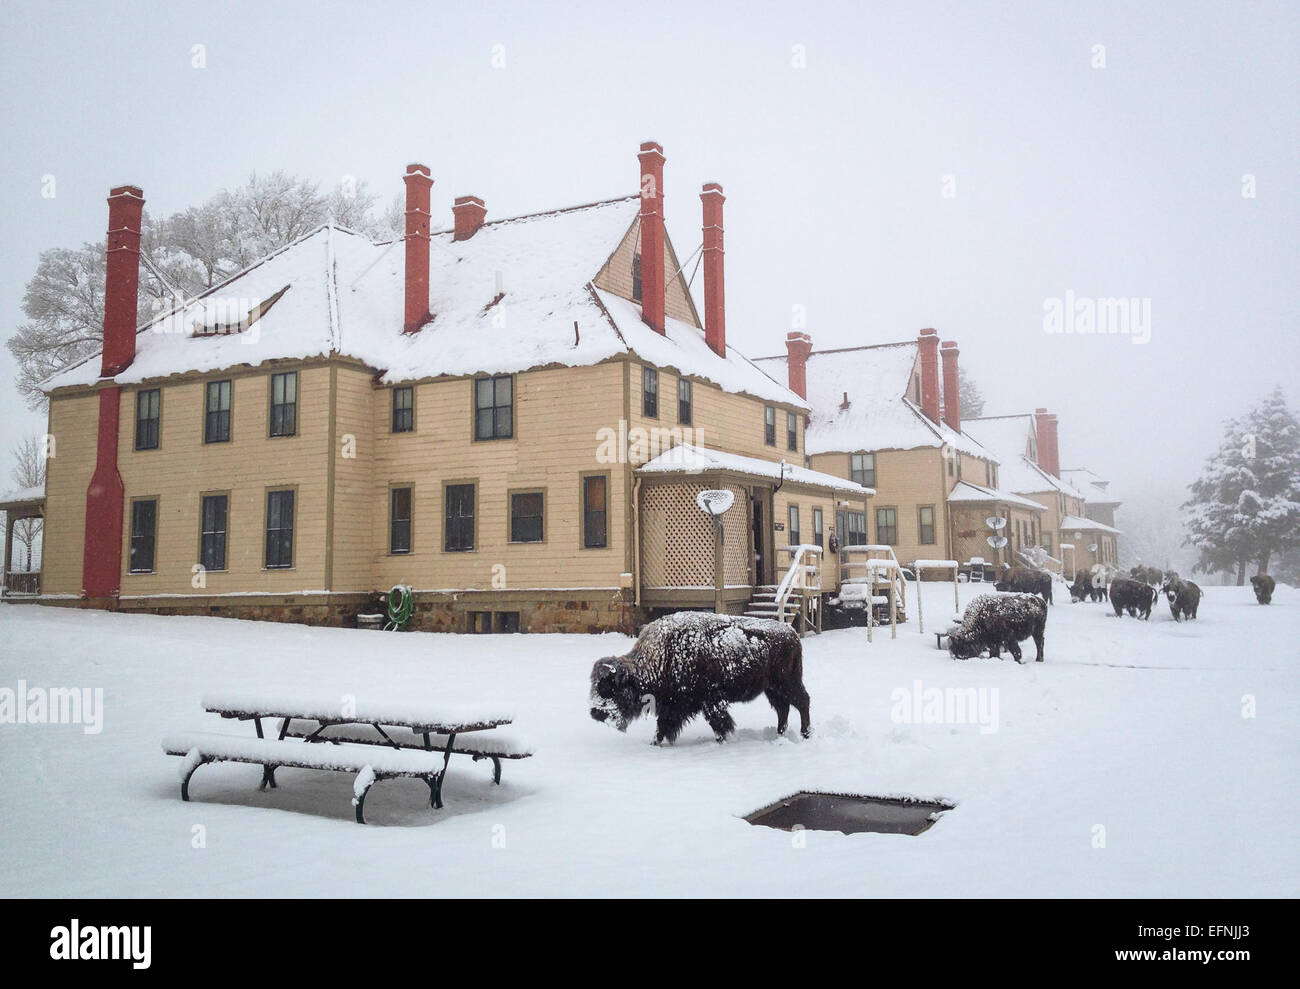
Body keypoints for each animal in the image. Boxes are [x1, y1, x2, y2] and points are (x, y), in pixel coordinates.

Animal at [592, 610, 811, 738]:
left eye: (610, 687)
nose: (595, 712)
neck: (663, 656)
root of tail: (792, 632)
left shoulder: (710, 701)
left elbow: (719, 723)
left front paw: (724, 740)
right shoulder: (674, 705)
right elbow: (663, 726)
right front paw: (655, 743)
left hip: (787, 683)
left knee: (801, 702)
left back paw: (804, 733)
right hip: (772, 689)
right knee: (783, 708)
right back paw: (780, 733)